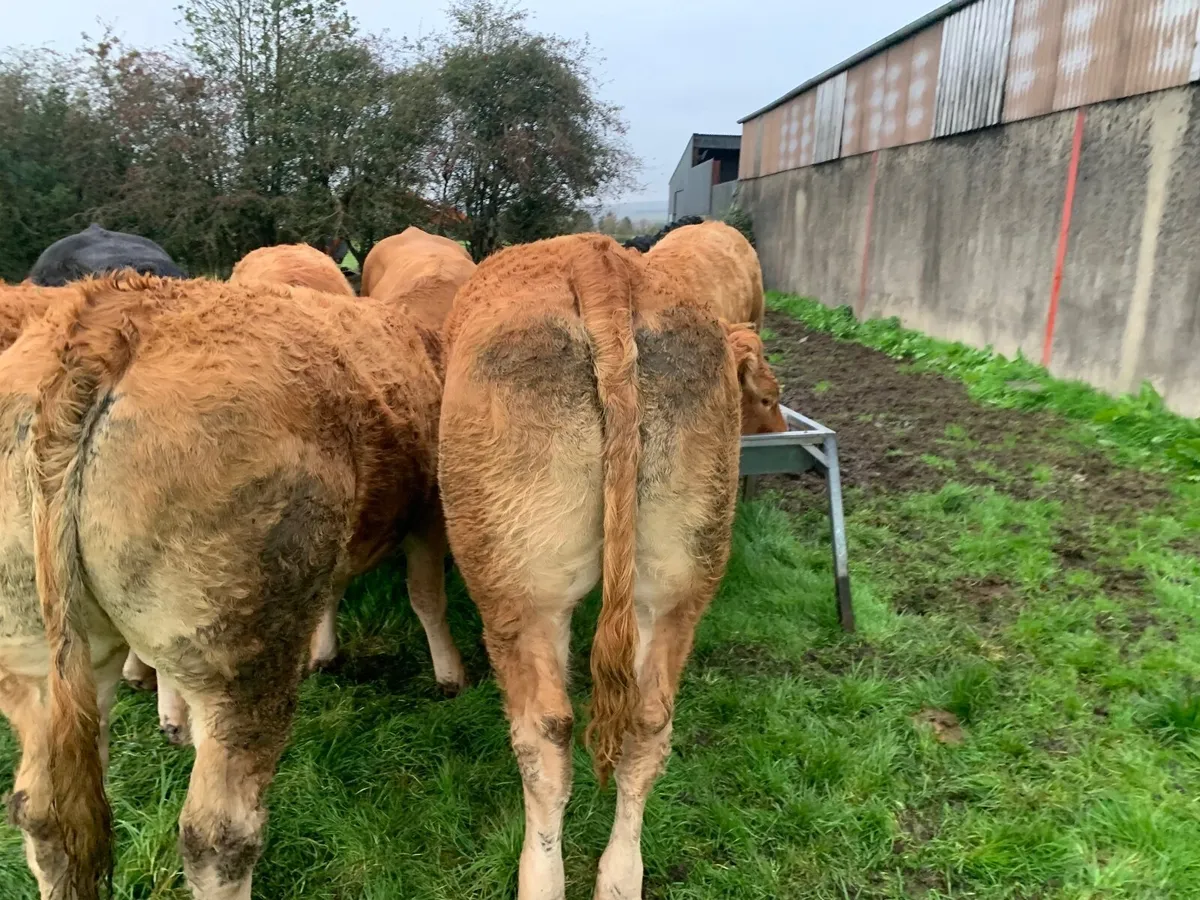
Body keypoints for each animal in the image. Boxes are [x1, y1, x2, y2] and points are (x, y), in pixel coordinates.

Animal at [0, 272, 465, 899]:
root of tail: (102, 319)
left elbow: (337, 588)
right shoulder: (428, 517)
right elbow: (426, 596)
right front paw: (450, 675)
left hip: (41, 661)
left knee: (44, 814)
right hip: (244, 648)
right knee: (217, 835)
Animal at [437, 233, 786, 900]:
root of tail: (597, 259)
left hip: (522, 591)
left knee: (546, 732)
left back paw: (540, 876)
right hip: (676, 576)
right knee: (649, 722)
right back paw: (621, 877)